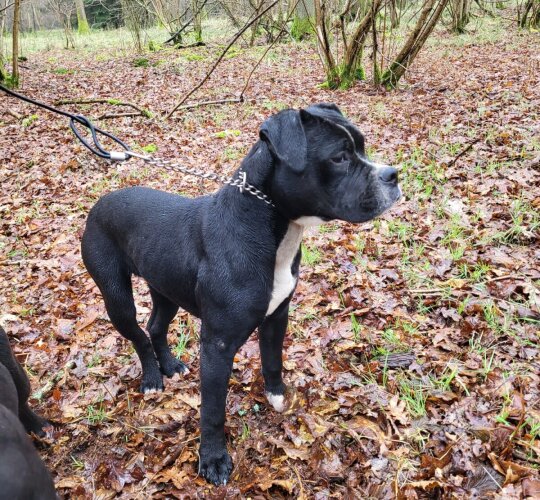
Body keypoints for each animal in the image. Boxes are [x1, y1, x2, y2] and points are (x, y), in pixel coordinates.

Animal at [81, 103, 400, 482]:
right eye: (339, 157)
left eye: (362, 147)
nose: (393, 174)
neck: (275, 225)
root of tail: (100, 202)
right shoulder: (218, 344)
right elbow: (213, 410)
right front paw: (213, 459)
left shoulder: (277, 316)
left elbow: (273, 360)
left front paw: (277, 397)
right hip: (116, 297)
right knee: (137, 333)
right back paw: (152, 378)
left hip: (165, 290)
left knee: (156, 326)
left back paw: (170, 365)